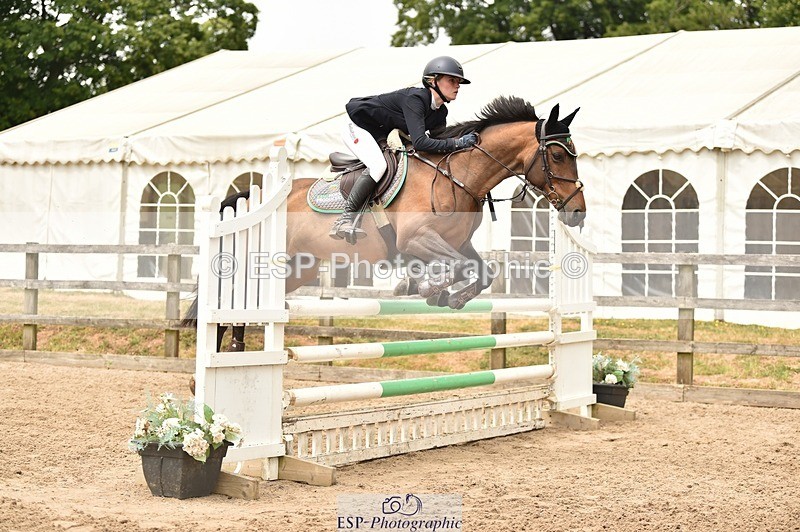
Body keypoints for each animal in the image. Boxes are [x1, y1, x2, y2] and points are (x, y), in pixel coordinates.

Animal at [283, 95, 585, 310]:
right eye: (558, 156)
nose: (577, 213)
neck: (457, 177)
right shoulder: (415, 238)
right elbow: (460, 266)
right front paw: (425, 288)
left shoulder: (458, 243)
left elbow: (483, 272)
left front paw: (445, 296)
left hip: (302, 266)